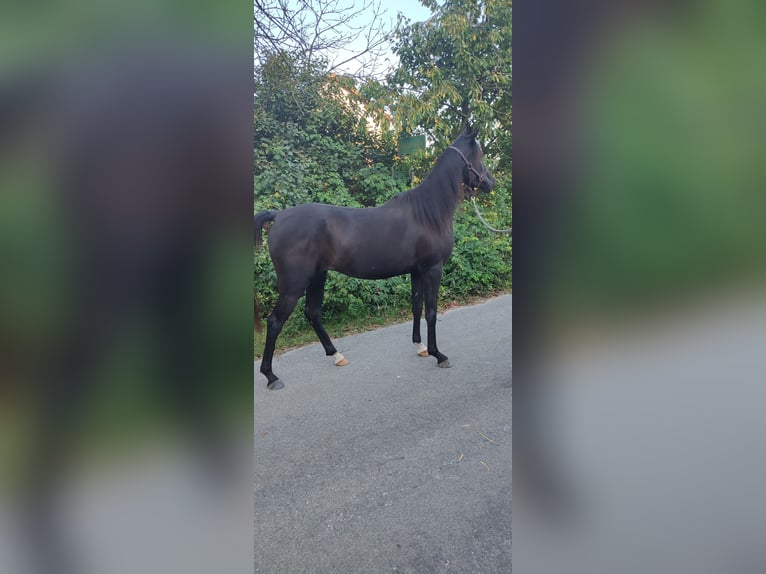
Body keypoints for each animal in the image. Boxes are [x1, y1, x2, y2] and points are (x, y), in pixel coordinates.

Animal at [255, 127, 498, 392]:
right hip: (295, 284)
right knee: (275, 321)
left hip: (318, 276)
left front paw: (420, 347)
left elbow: (416, 306)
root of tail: (279, 216)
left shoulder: (416, 271)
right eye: (479, 155)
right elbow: (432, 312)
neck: (428, 213)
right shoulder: (433, 269)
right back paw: (271, 376)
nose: (491, 182)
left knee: (312, 312)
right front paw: (438, 355)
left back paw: (336, 355)